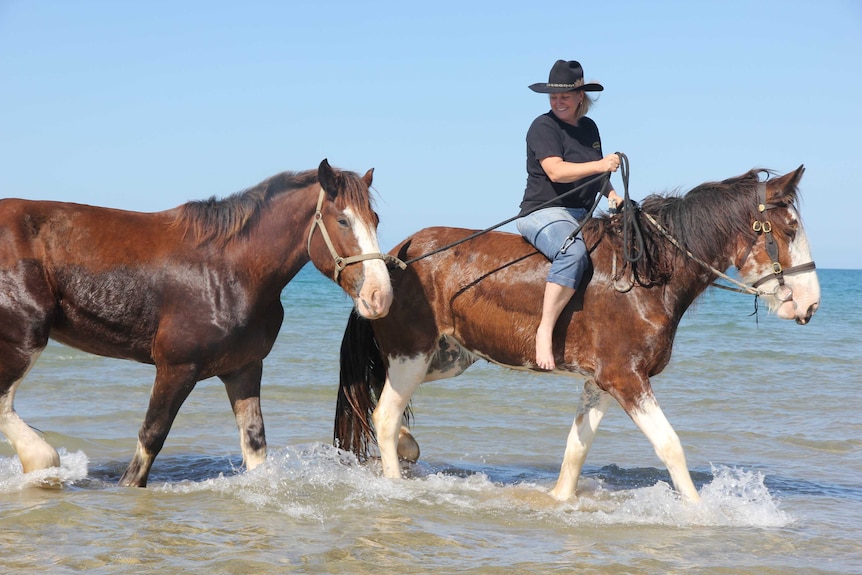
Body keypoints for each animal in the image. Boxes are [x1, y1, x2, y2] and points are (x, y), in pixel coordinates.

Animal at [0, 160, 398, 488]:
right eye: (343, 220)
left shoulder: (243, 369)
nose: (380, 297)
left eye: (376, 220)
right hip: (24, 338)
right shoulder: (176, 367)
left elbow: (255, 444)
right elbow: (151, 437)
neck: (227, 271)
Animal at [336, 166, 824, 504]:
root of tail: (393, 257)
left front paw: (559, 502)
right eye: (789, 229)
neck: (646, 276)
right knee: (384, 415)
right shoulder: (626, 379)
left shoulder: (600, 383)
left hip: (445, 357)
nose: (811, 304)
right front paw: (700, 513)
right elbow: (670, 447)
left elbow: (576, 448)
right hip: (412, 355)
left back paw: (407, 447)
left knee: (381, 403)